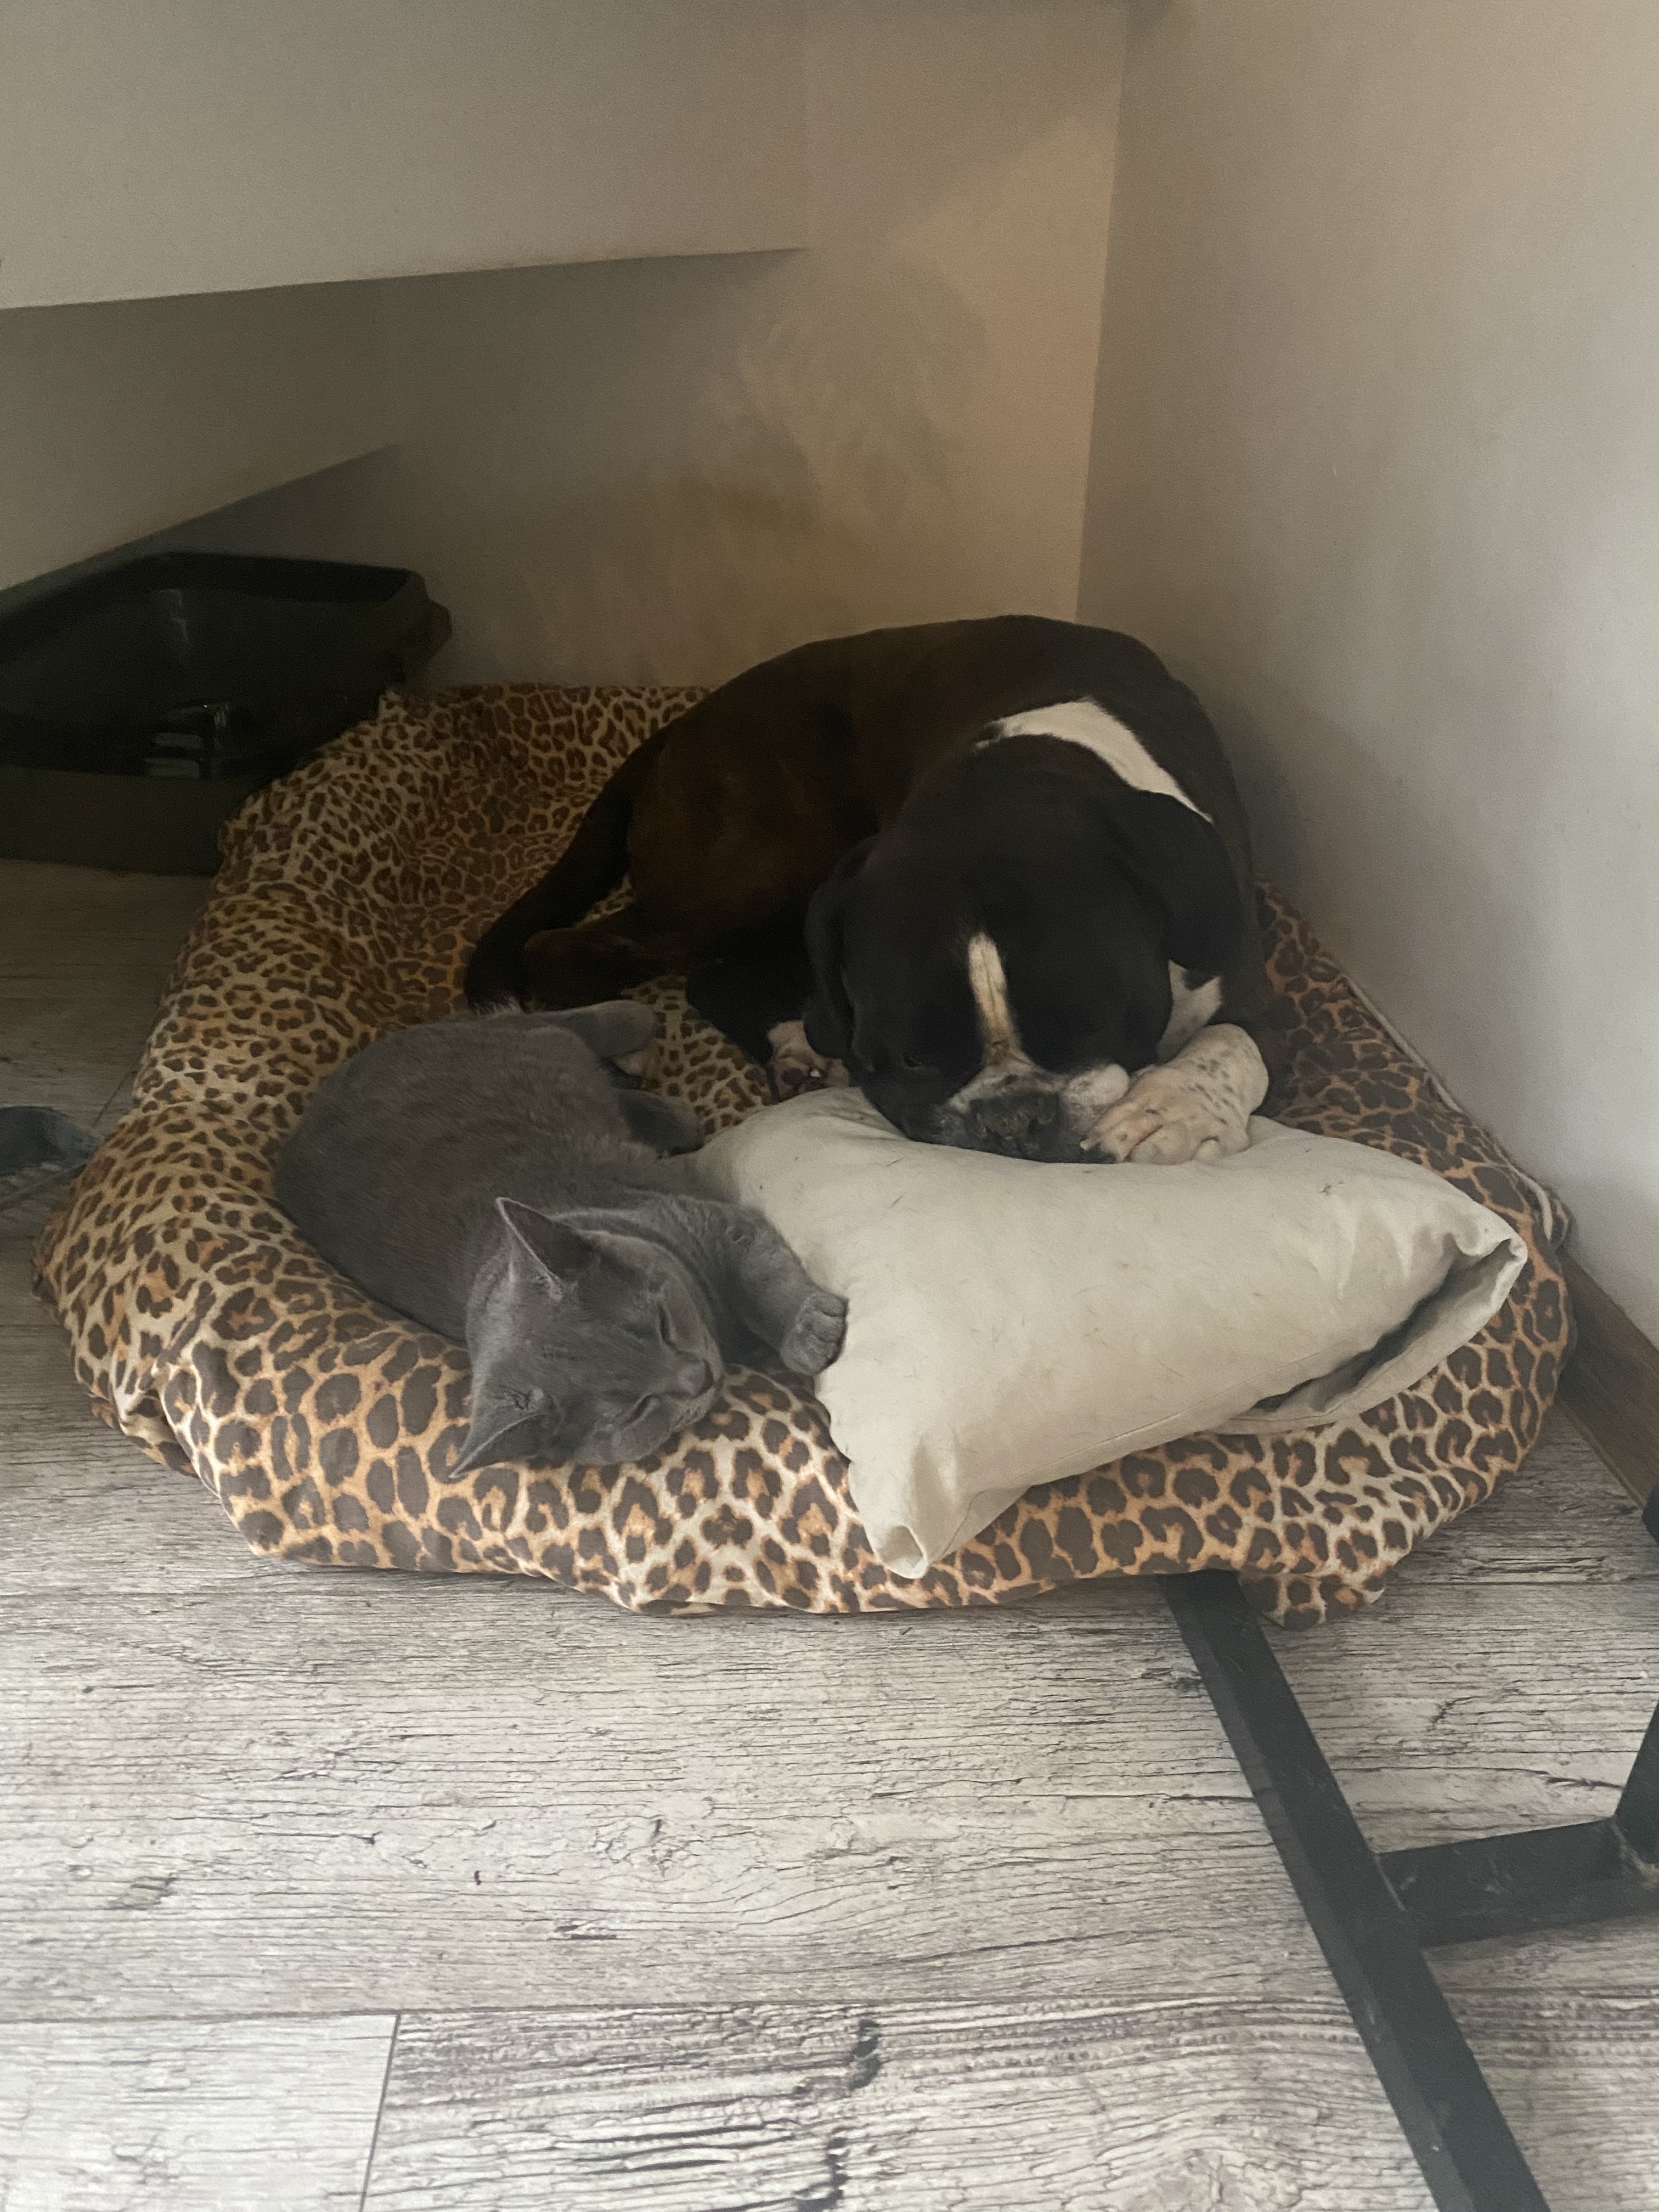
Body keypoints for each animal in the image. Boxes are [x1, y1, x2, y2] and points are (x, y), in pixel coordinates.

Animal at [274, 1003, 846, 1473]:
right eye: (636, 1410)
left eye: (660, 1325)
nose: (698, 1377)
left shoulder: (714, 1225)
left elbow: (765, 1283)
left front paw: (808, 1336)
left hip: (523, 1039)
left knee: (564, 1021)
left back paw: (639, 1041)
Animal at [464, 616, 1287, 1162]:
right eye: (913, 1060)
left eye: (1088, 1029)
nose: (1012, 1120)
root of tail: (675, 729)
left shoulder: (1241, 971)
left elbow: (1232, 1044)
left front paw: (1174, 1108)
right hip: (754, 880)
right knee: (571, 952)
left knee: (710, 975)